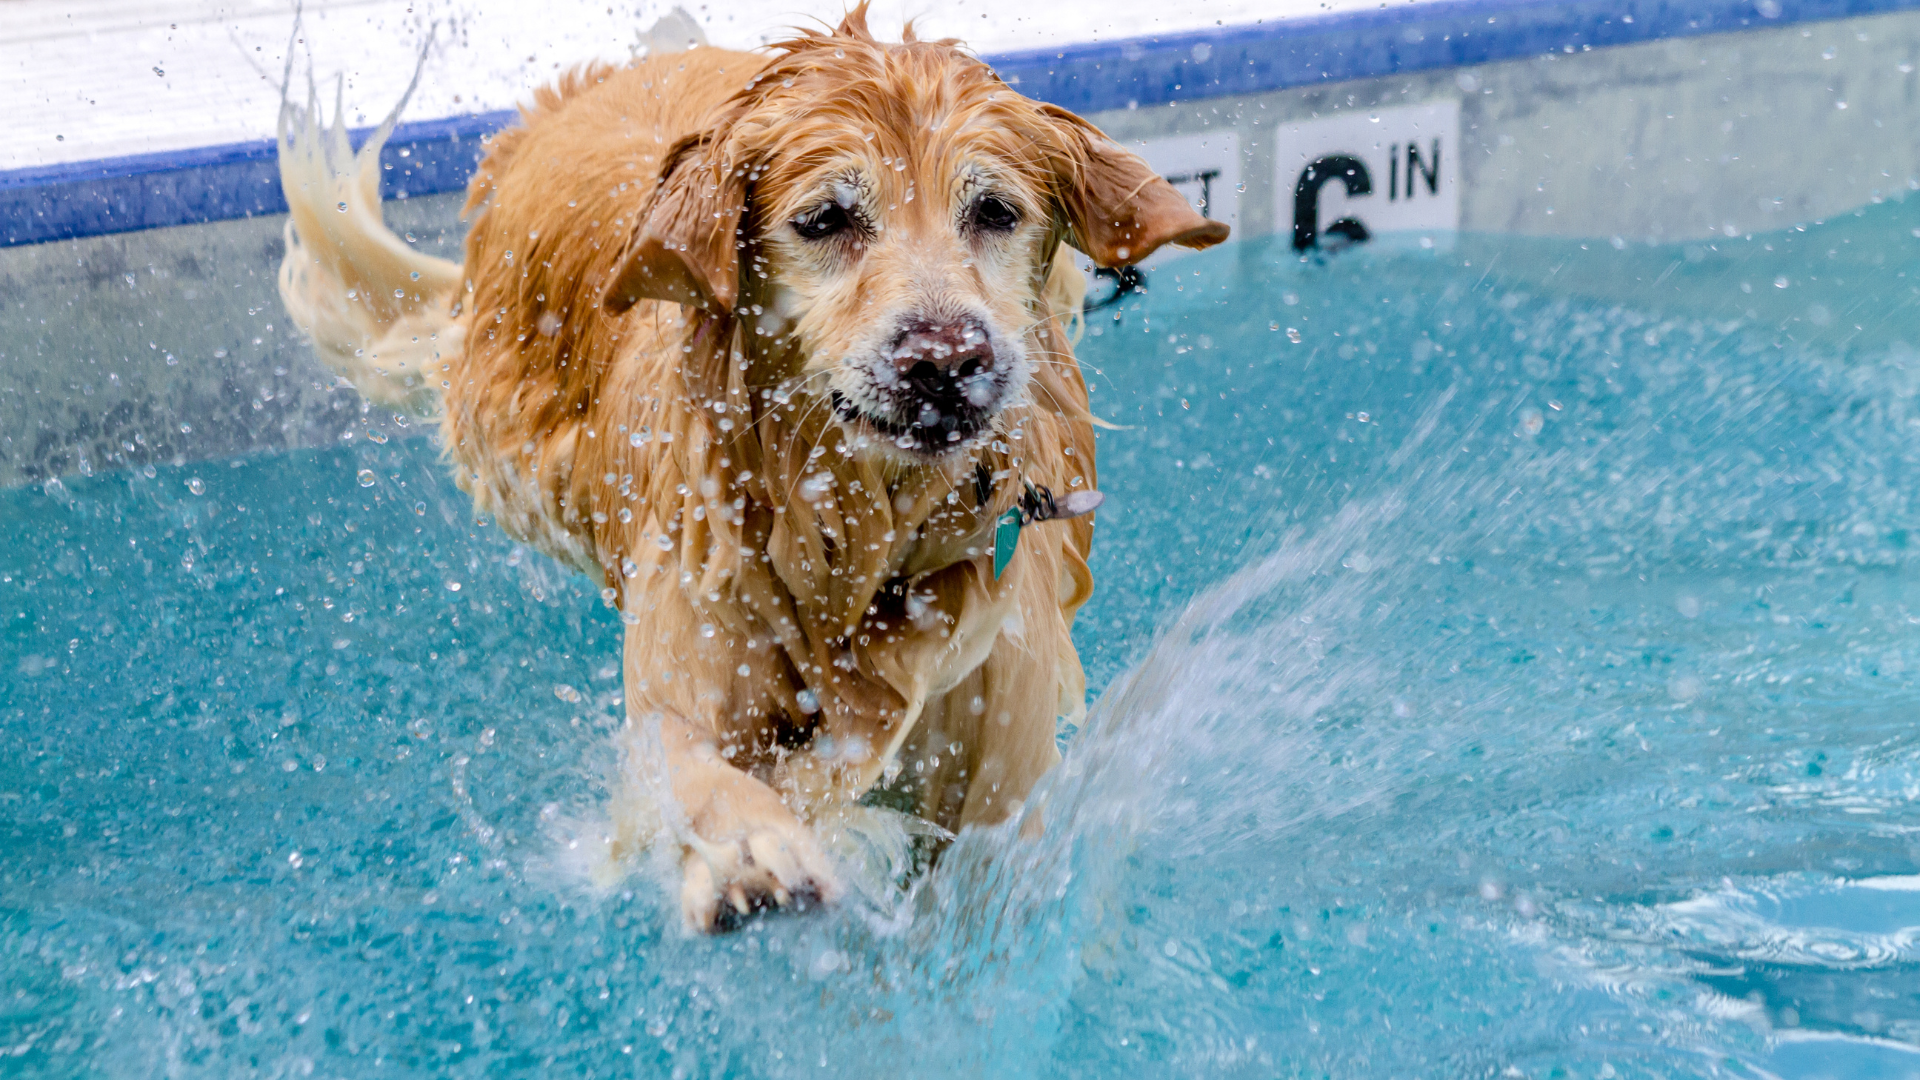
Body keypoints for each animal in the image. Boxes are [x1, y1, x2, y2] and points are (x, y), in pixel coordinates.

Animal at [272, 4, 1228, 926]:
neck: (859, 542)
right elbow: (692, 767)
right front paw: (748, 854)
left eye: (994, 211)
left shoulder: (996, 775)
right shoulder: (690, 655)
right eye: (825, 219)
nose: (946, 359)